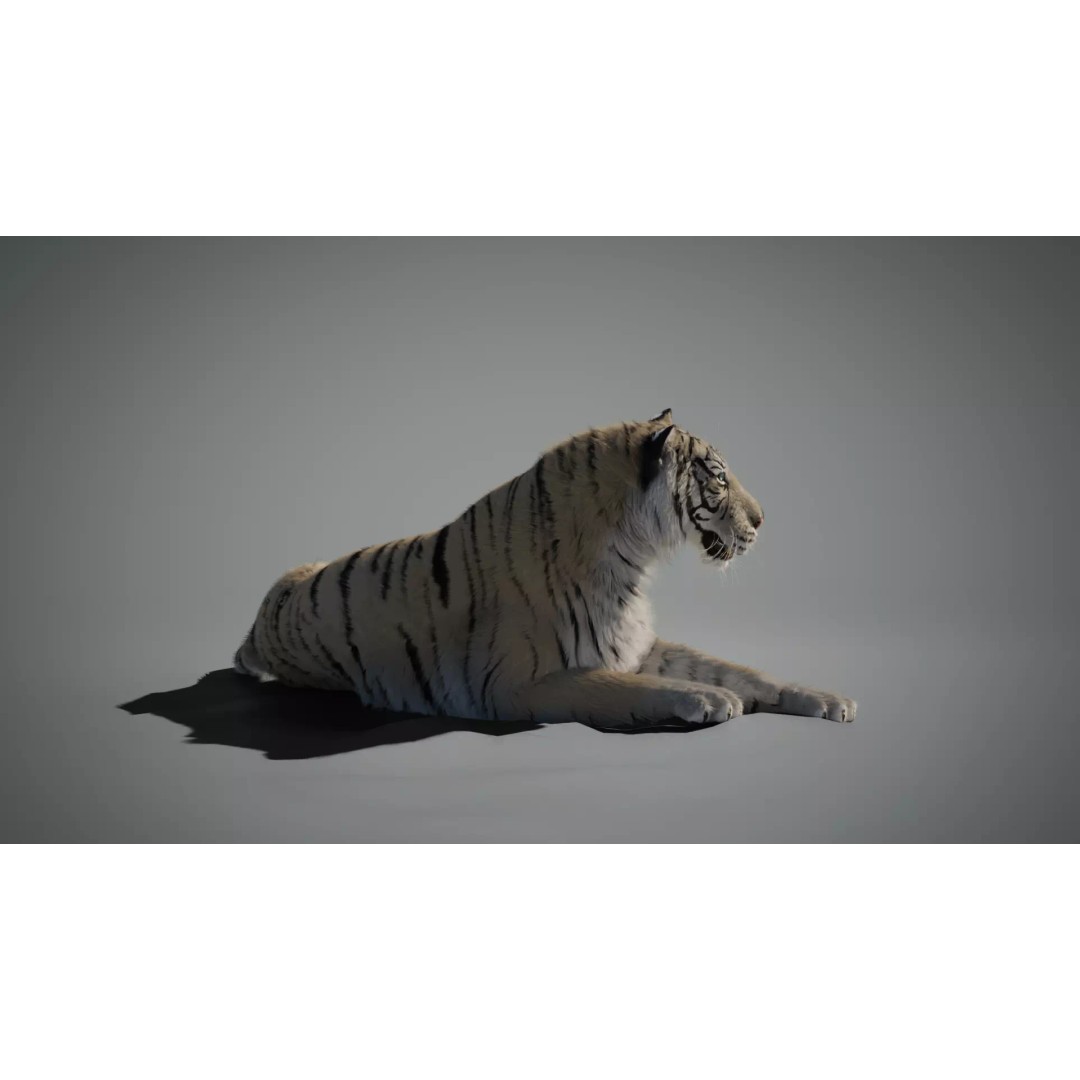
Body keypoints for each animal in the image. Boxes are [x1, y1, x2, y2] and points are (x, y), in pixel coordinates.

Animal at [233, 409, 856, 730]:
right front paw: (706, 699)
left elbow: (741, 669)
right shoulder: (511, 686)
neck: (630, 560)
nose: (764, 519)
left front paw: (827, 699)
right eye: (719, 477)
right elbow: (620, 688)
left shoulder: (634, 642)